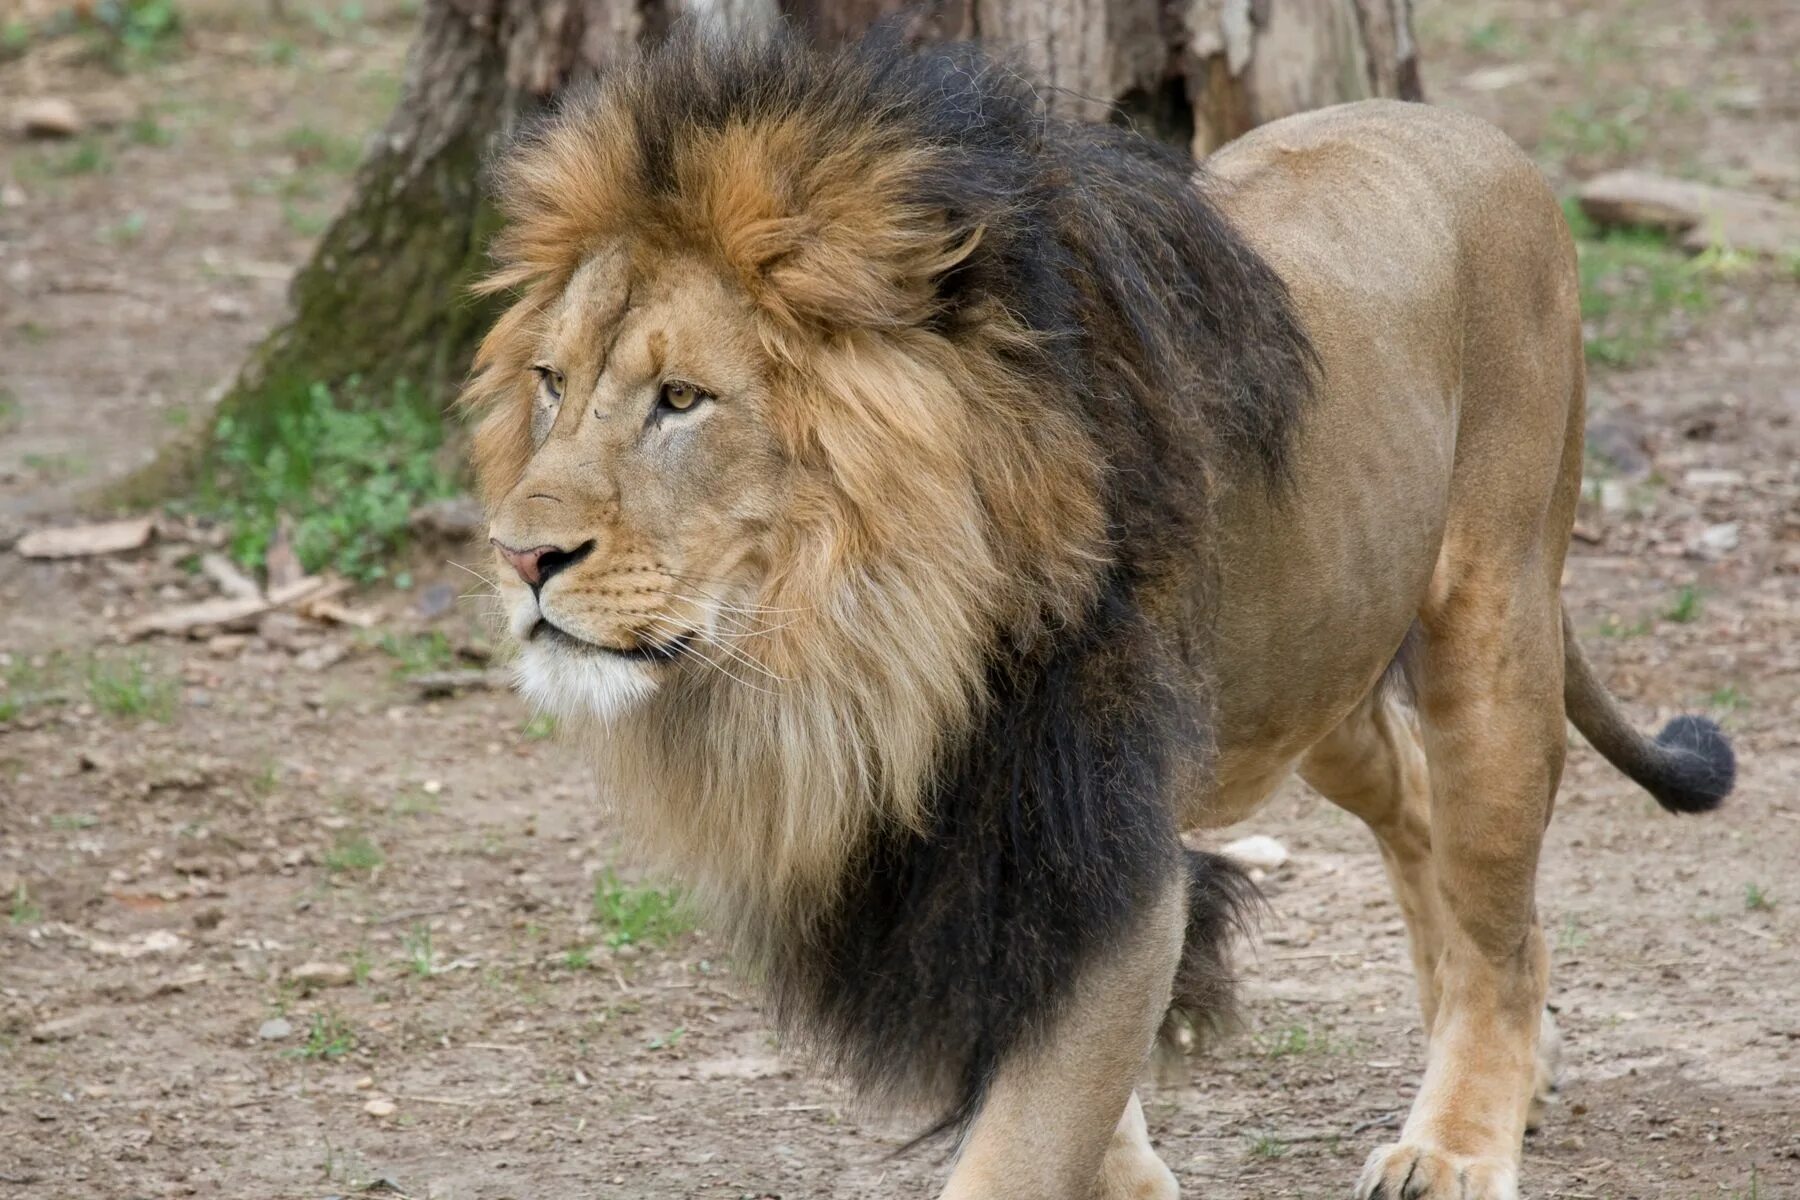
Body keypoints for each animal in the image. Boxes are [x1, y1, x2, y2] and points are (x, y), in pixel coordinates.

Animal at [460, 28, 1728, 1200]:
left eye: (681, 400)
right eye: (551, 386)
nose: (520, 555)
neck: (860, 650)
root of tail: (1476, 137)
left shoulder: (1097, 851)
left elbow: (1021, 1145)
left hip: (1493, 621)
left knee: (1495, 912)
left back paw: (1460, 1138)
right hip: (1310, 673)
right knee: (1420, 814)